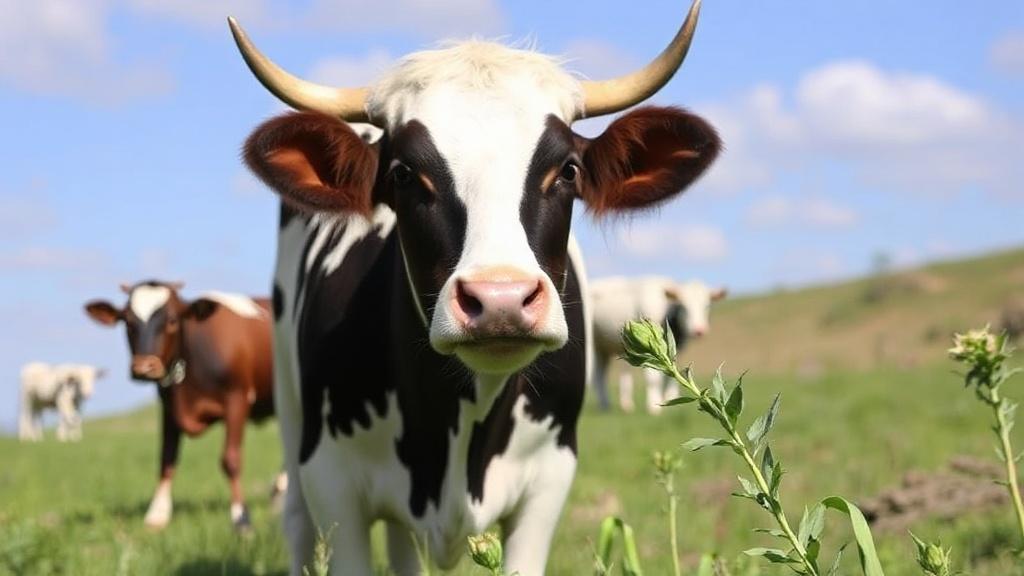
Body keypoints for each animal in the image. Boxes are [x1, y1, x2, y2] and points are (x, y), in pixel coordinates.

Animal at [84, 281, 277, 531]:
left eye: (172, 320)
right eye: (127, 321)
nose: (144, 367)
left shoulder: (237, 400)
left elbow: (231, 459)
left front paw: (240, 517)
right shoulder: (169, 407)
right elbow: (166, 459)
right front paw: (157, 514)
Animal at [590, 277, 726, 414]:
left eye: (707, 306)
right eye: (683, 306)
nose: (699, 330)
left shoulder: (678, 349)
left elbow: (671, 377)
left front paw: (671, 399)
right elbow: (654, 380)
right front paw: (653, 407)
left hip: (604, 348)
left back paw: (624, 404)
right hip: (593, 346)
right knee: (598, 375)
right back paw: (605, 405)